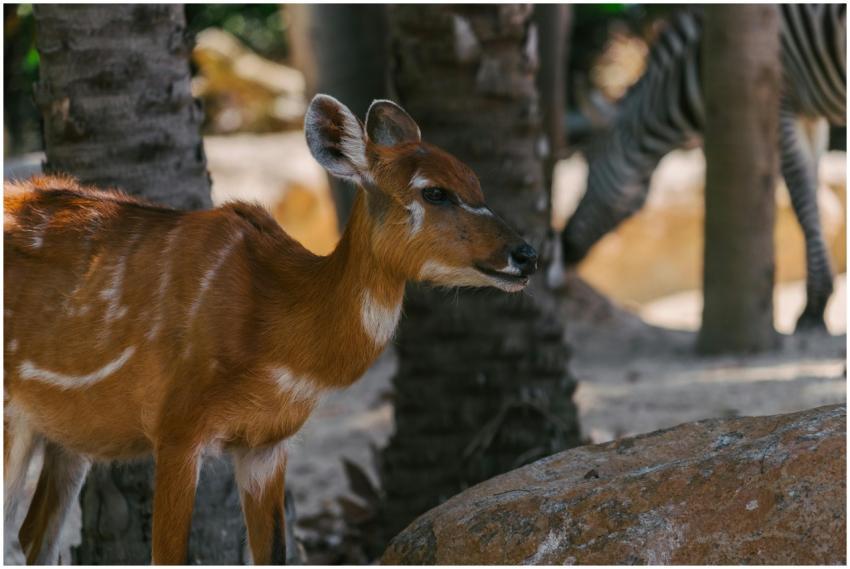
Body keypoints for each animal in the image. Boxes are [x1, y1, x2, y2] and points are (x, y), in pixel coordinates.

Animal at [3, 95, 539, 564]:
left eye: (476, 182)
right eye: (434, 191)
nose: (527, 254)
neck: (273, 321)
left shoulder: (266, 445)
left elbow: (274, 553)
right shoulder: (176, 430)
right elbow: (167, 556)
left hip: (64, 435)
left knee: (33, 536)